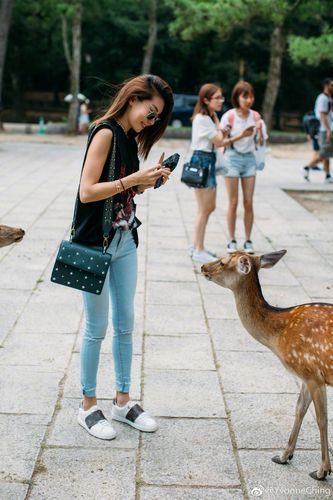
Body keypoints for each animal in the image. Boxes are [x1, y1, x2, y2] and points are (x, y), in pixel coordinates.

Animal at [201, 250, 332, 480]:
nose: (202, 267)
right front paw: (283, 456)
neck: (278, 337)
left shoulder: (312, 372)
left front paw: (322, 471)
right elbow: (299, 409)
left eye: (223, 262)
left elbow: (321, 419)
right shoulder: (305, 376)